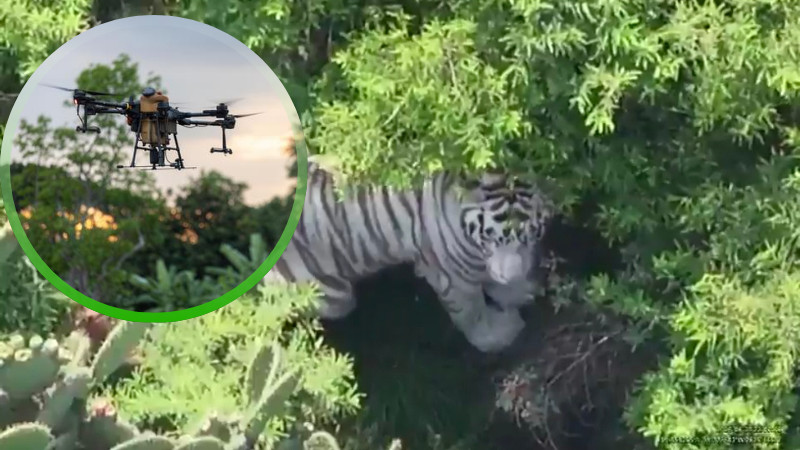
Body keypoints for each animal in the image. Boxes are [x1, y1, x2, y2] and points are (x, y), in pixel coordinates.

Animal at [264, 161, 553, 353]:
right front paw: (499, 335)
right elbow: (472, 313)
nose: (510, 275)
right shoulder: (453, 276)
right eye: (490, 238)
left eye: (530, 234)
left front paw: (520, 290)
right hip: (332, 295)